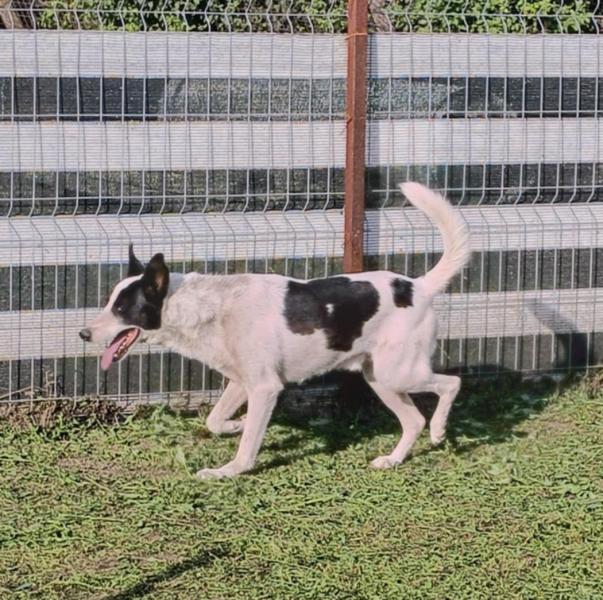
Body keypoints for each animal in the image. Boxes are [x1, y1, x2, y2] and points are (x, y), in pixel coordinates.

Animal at [80, 183, 470, 479]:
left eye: (121, 309)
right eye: (108, 302)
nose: (83, 335)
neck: (210, 306)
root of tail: (418, 286)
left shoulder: (265, 388)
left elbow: (247, 445)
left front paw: (229, 470)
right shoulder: (242, 382)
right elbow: (214, 419)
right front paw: (235, 426)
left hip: (399, 373)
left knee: (451, 384)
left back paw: (439, 430)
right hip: (381, 378)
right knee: (414, 420)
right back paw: (393, 459)